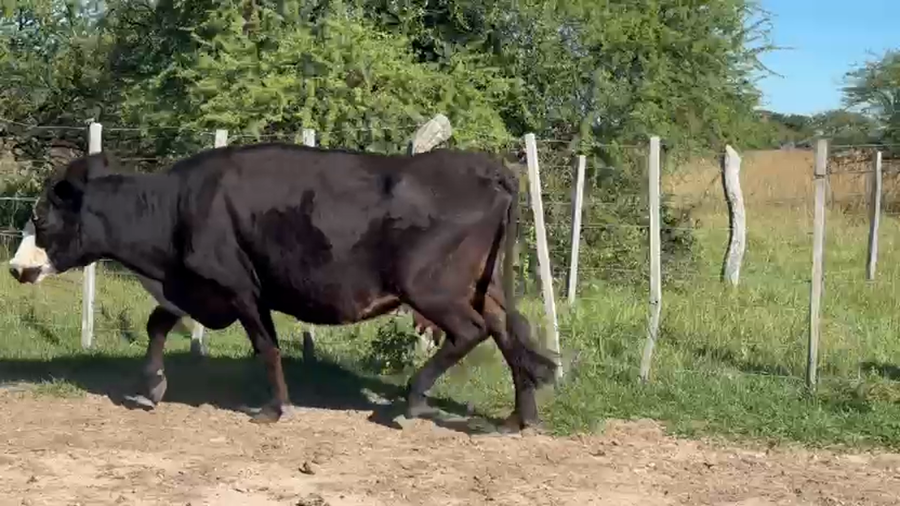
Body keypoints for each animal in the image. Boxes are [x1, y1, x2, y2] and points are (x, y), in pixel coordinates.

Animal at [7, 142, 558, 430]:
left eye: (41, 218)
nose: (15, 267)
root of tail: (486, 166)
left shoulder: (240, 287)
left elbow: (266, 346)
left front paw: (274, 409)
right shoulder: (196, 287)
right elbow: (157, 322)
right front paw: (153, 385)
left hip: (430, 286)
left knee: (471, 332)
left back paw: (416, 399)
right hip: (484, 284)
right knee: (511, 332)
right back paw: (521, 418)